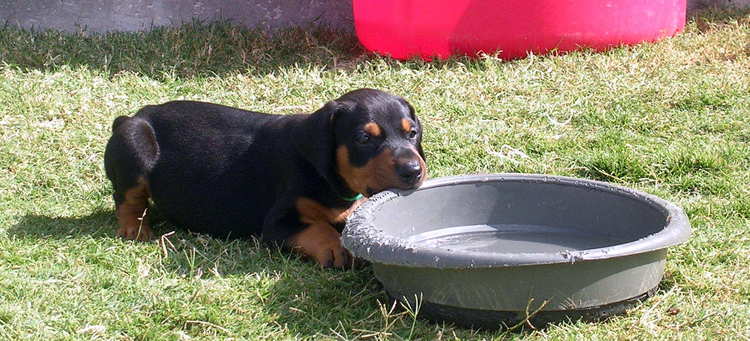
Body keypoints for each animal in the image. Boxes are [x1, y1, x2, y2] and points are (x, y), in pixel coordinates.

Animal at [103, 88, 426, 268]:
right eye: (363, 139)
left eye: (412, 132)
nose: (413, 171)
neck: (325, 175)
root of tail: (137, 114)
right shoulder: (277, 223)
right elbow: (318, 228)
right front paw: (335, 247)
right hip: (135, 143)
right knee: (127, 198)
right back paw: (134, 228)